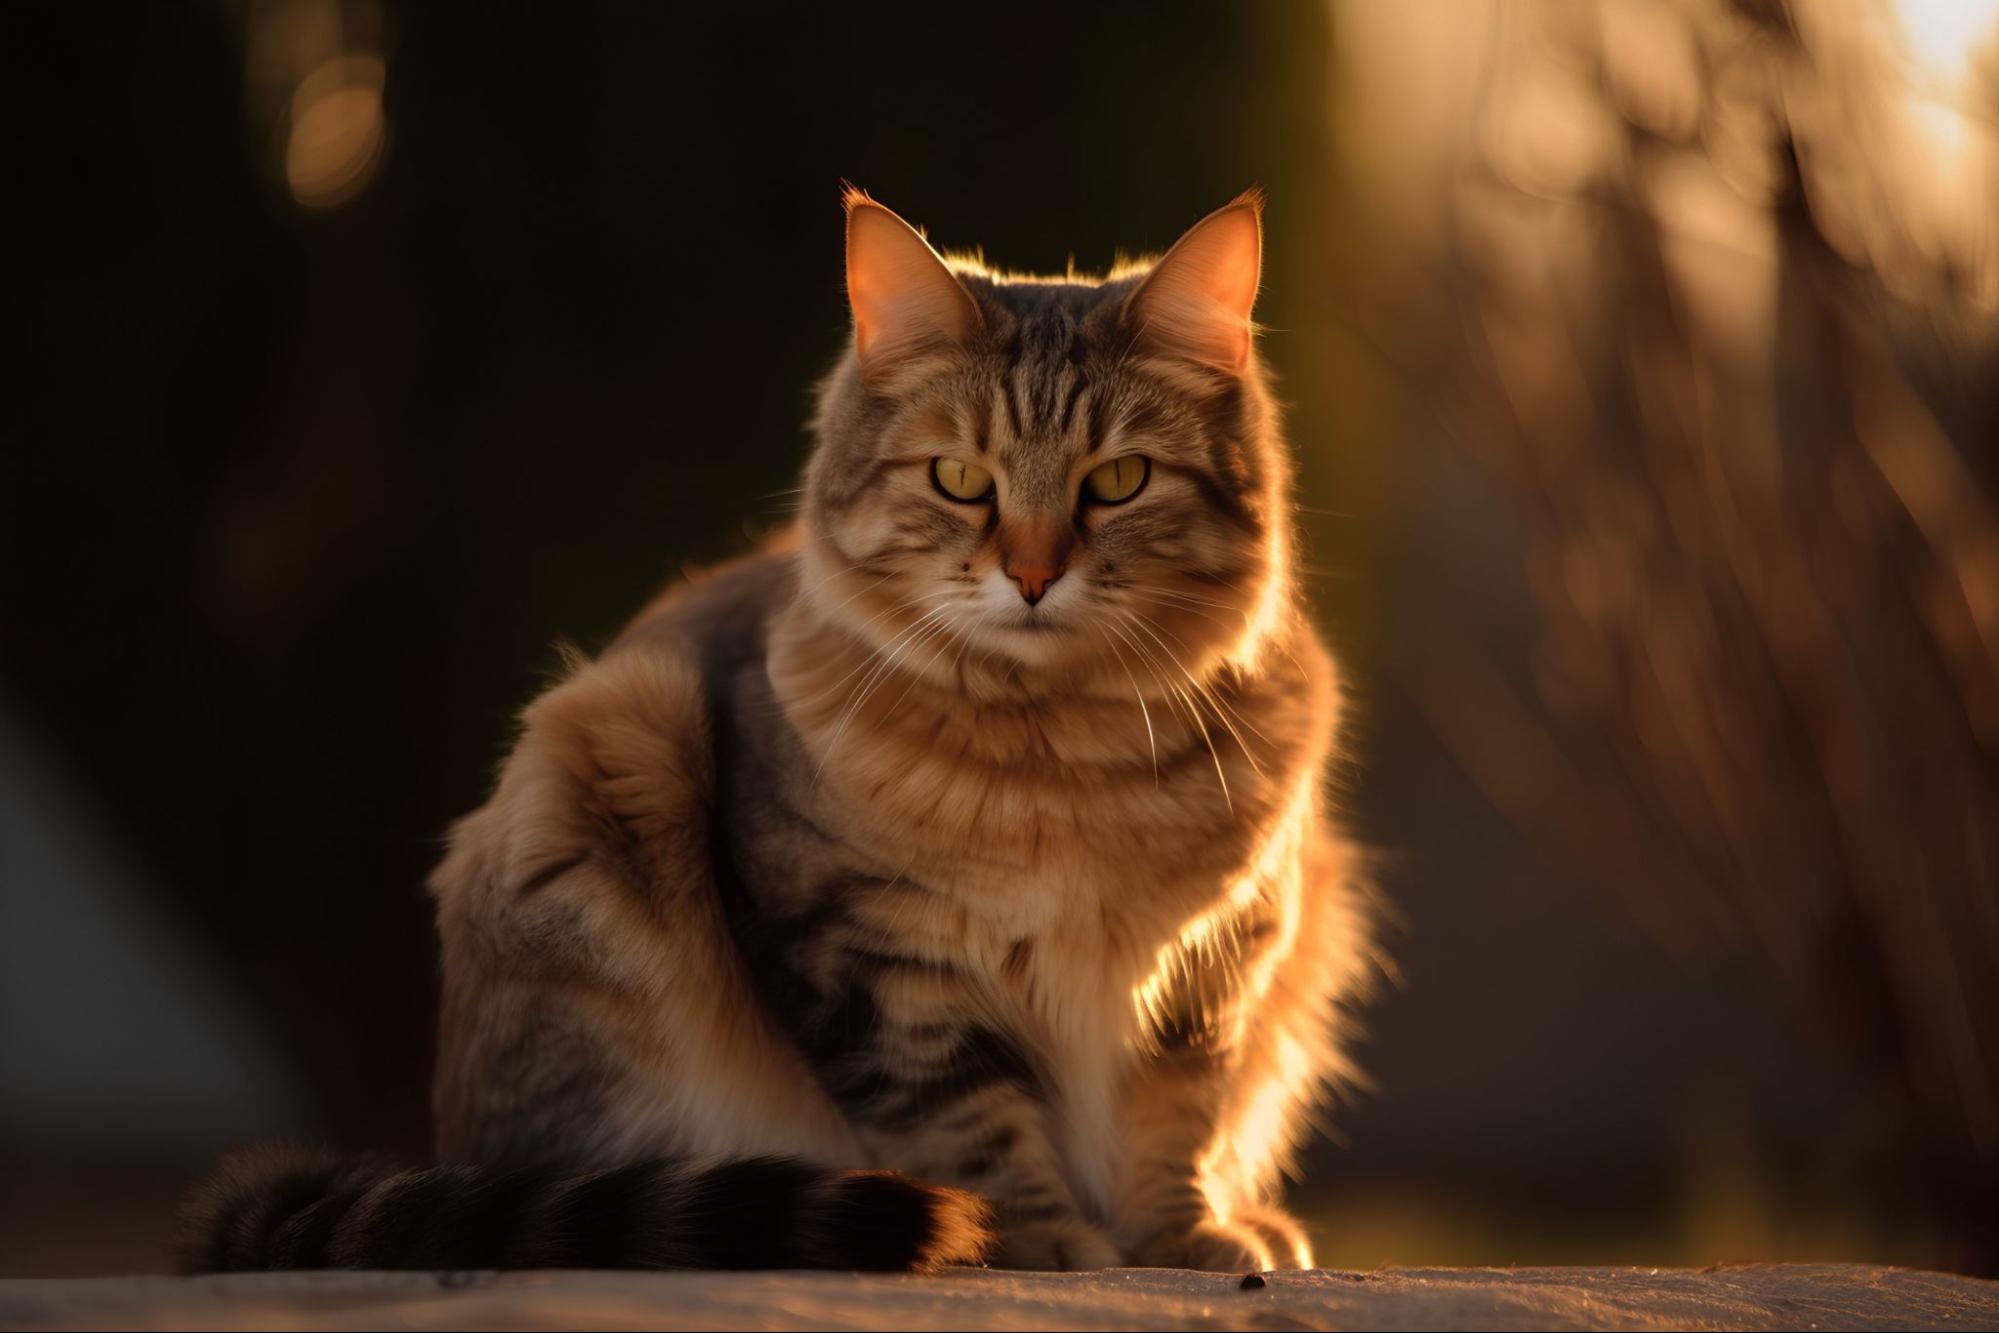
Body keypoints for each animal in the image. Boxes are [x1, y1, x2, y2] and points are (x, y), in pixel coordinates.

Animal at [183, 184, 1375, 1271]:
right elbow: (969, 1125)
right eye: (959, 479)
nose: (1033, 577)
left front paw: (1180, 1236)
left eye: (1118, 481)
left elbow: (1175, 1118)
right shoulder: (874, 965)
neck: (1059, 763)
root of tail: (454, 1152)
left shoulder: (1222, 956)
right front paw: (1036, 1242)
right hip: (612, 753)